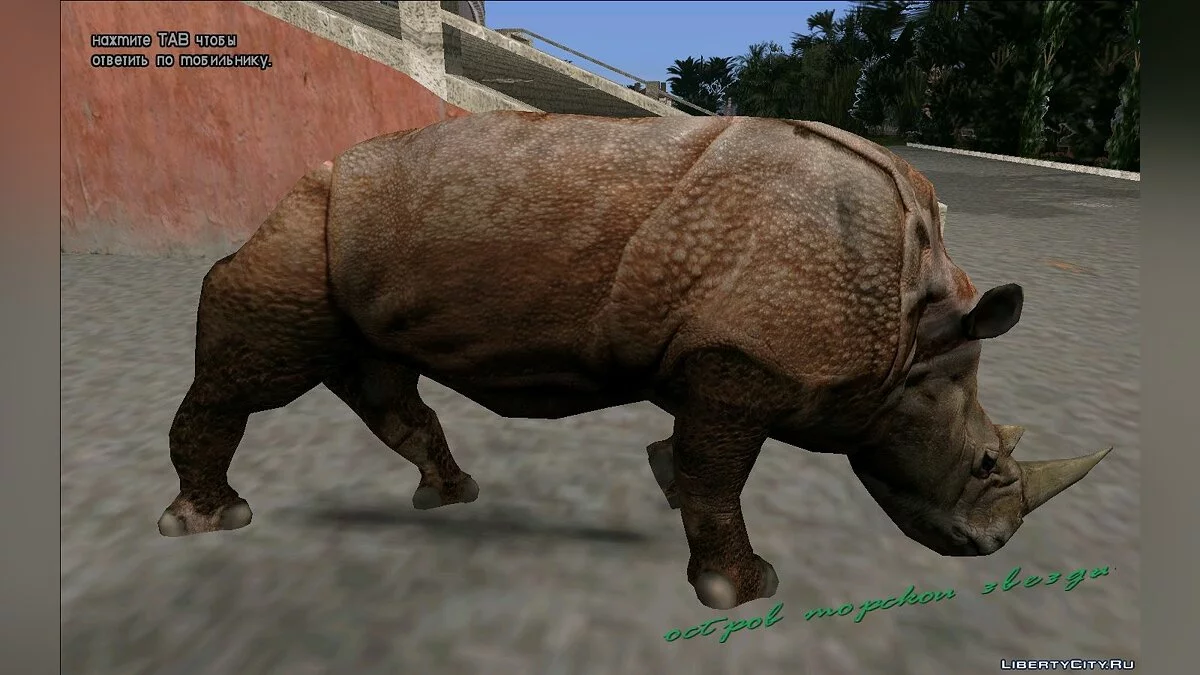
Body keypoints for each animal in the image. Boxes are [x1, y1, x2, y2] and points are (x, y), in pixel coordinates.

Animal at [157, 111, 1111, 610]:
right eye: (986, 461)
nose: (991, 545)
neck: (914, 325)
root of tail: (303, 176)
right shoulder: (743, 354)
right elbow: (721, 473)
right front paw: (743, 589)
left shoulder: (721, 358)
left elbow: (697, 462)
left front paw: (669, 490)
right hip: (307, 231)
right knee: (258, 375)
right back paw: (208, 523)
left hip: (353, 247)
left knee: (383, 383)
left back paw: (450, 495)